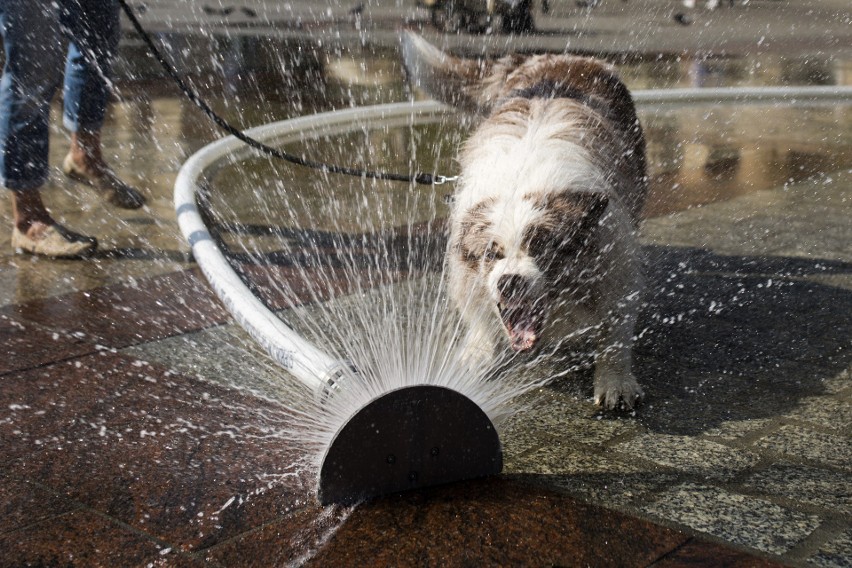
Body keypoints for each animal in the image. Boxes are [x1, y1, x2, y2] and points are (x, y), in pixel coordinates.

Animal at [402, 32, 648, 408]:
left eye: (543, 249)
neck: (521, 182)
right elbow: (479, 312)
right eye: (492, 255)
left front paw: (615, 381)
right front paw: (477, 351)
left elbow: (615, 327)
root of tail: (556, 57)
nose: (511, 281)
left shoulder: (614, 259)